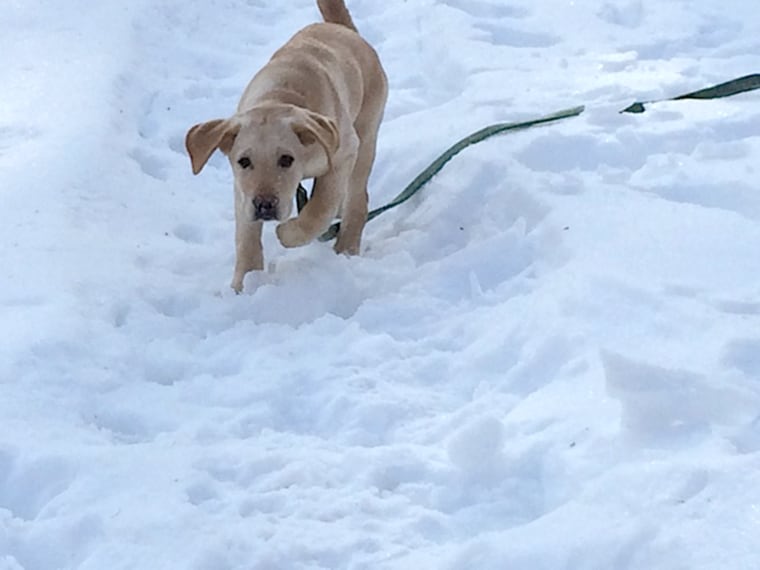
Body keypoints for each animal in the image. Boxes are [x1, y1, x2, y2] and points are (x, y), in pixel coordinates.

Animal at [184, 0, 386, 290]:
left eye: (286, 159)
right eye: (243, 161)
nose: (265, 205)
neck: (277, 96)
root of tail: (344, 30)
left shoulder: (343, 152)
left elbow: (319, 208)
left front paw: (288, 233)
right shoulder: (242, 190)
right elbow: (245, 235)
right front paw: (245, 282)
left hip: (366, 136)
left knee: (357, 200)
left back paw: (346, 248)